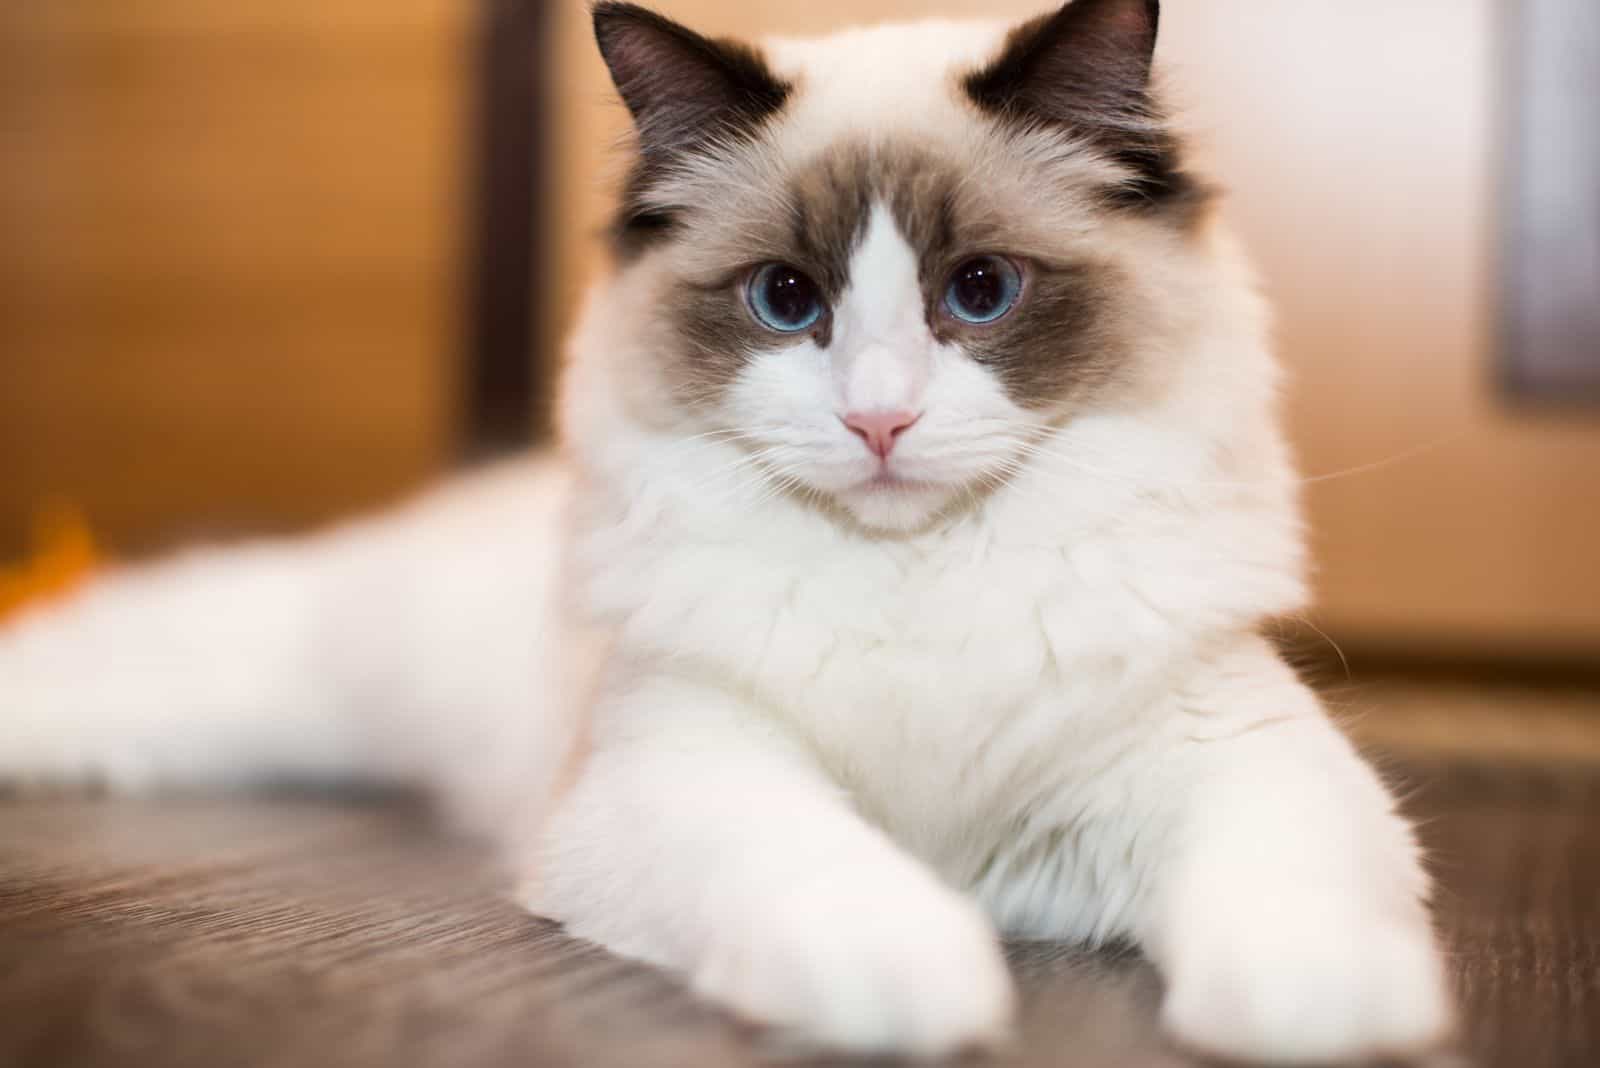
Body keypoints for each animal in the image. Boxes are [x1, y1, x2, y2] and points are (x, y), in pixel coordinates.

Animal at [0, 2, 1452, 1061]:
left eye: (979, 292)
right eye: (786, 300)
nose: (879, 420)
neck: (916, 578)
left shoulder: (1231, 757)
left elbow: (1290, 903)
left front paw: (1318, 1020)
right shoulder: (688, 768)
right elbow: (831, 878)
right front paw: (915, 987)